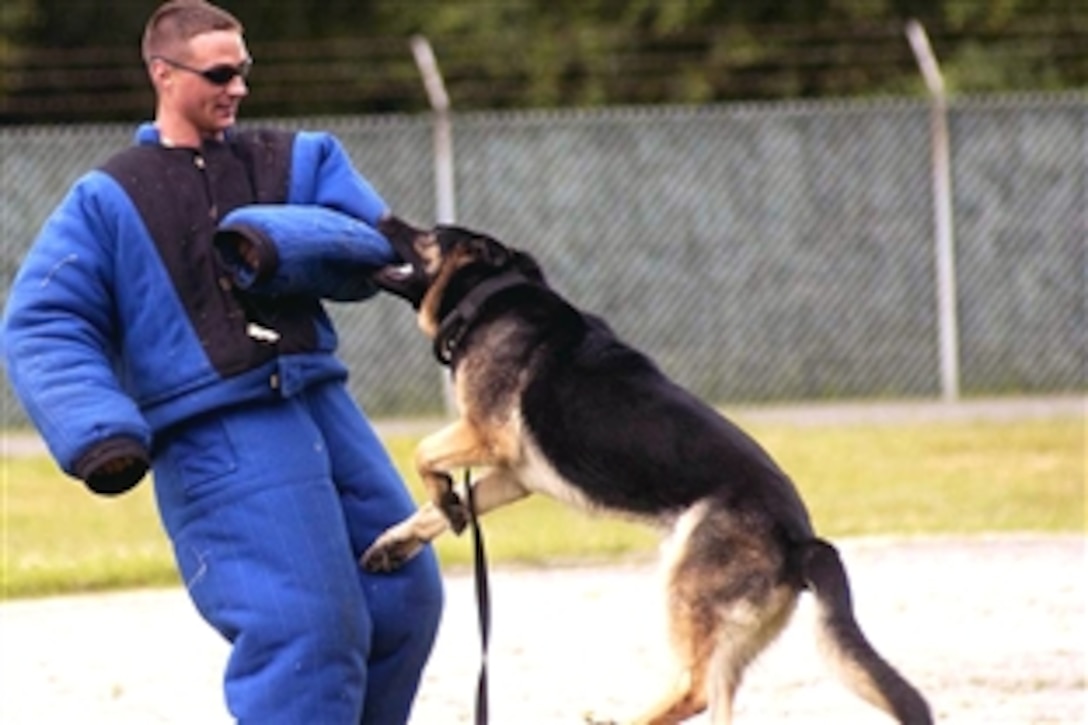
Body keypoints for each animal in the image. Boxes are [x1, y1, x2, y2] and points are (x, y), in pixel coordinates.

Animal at [361, 222, 931, 722]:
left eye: (430, 233)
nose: (380, 216)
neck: (489, 296)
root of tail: (800, 538)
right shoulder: (516, 474)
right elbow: (439, 502)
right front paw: (403, 537)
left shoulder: (485, 434)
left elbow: (423, 451)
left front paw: (442, 494)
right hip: (728, 636)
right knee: (711, 698)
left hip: (685, 589)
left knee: (692, 690)